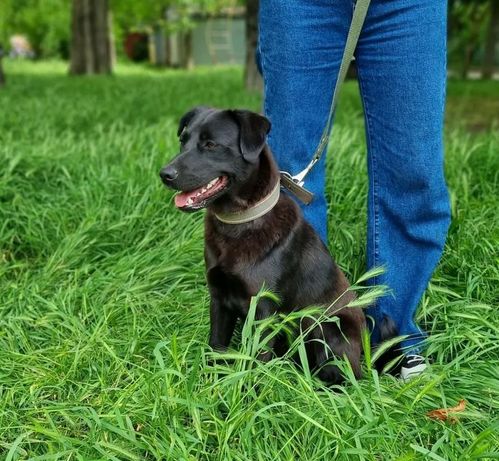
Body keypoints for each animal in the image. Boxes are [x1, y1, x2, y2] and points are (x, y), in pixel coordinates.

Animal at [160, 106, 368, 382]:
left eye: (211, 144)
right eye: (183, 141)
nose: (165, 174)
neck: (240, 222)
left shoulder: (263, 310)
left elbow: (255, 361)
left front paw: (248, 391)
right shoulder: (219, 300)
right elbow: (216, 348)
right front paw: (212, 385)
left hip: (328, 328)